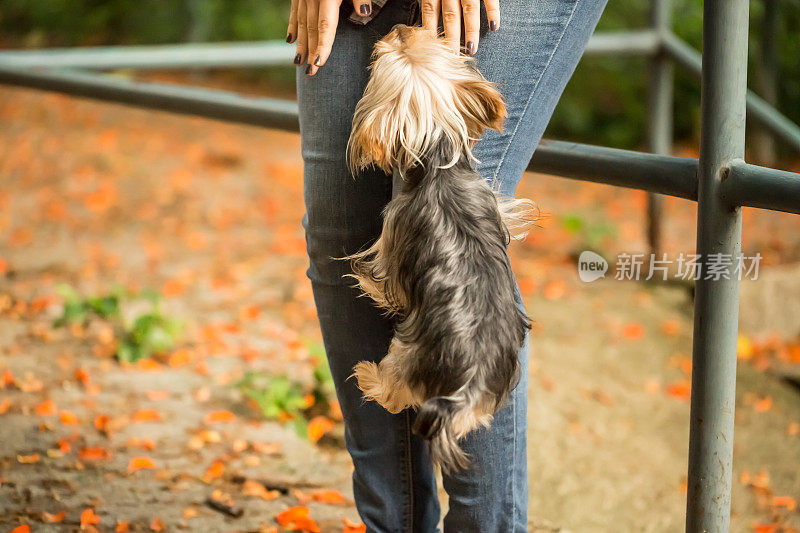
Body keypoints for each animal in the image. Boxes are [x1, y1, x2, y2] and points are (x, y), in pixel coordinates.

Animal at [346, 25, 536, 470]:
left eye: (385, 53)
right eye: (426, 38)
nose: (399, 27)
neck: (437, 156)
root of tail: (469, 381)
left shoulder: (394, 237)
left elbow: (383, 284)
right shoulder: (490, 202)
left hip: (407, 354)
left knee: (393, 393)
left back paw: (367, 374)